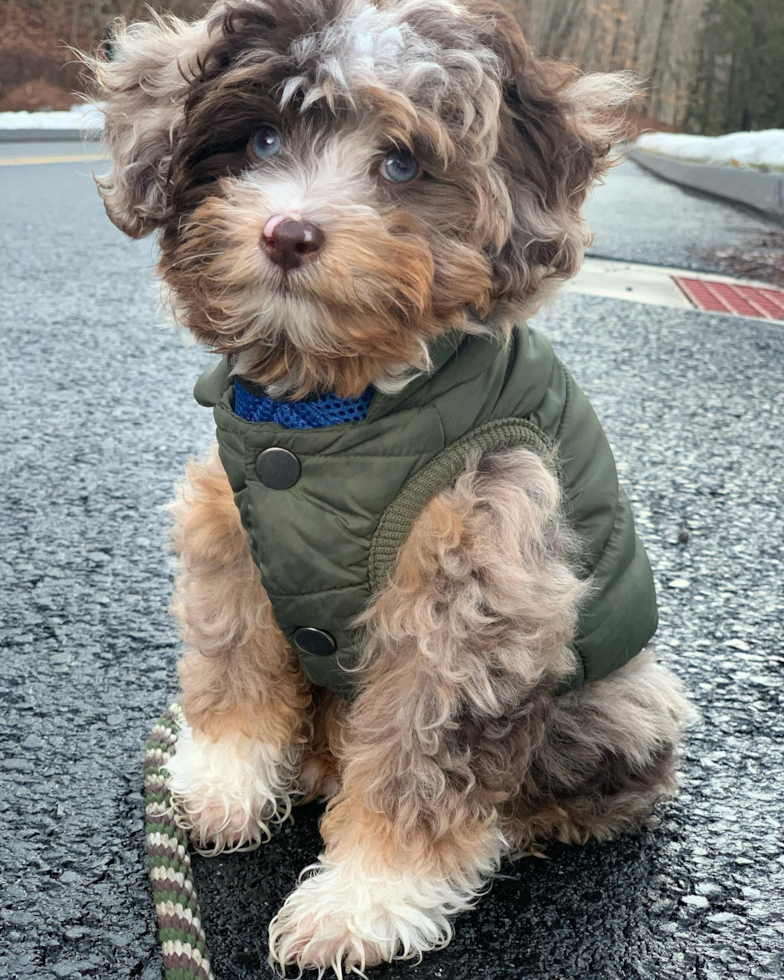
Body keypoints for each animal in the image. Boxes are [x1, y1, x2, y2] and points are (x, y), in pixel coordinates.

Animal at [92, 3, 692, 976]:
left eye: (403, 165)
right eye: (262, 139)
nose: (288, 232)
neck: (321, 415)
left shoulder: (474, 591)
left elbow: (422, 755)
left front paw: (366, 902)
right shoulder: (234, 538)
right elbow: (234, 666)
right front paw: (223, 781)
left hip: (620, 700)